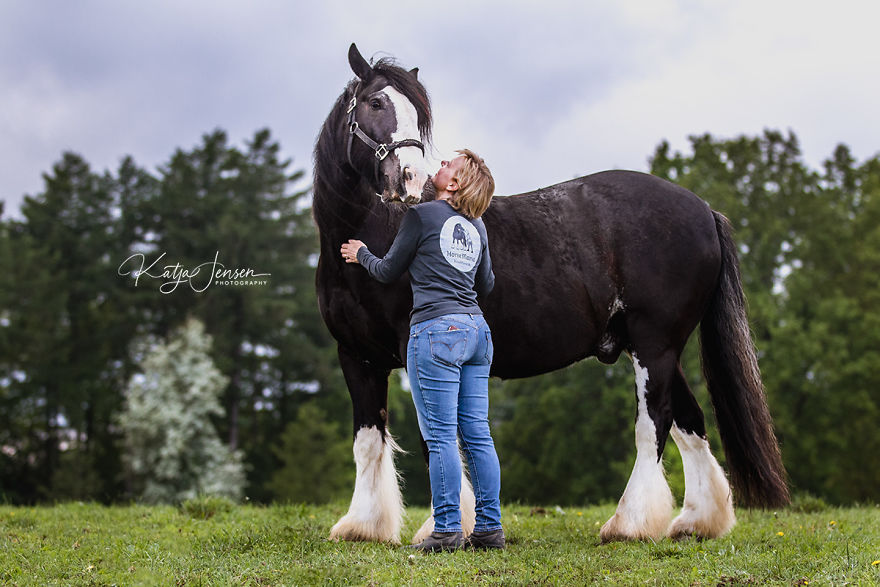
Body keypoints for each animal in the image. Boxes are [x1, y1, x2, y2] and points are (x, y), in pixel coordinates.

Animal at [313, 44, 789, 545]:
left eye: (417, 115)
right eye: (375, 103)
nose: (412, 180)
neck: (370, 238)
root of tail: (702, 210)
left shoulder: (417, 350)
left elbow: (432, 437)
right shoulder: (356, 356)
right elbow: (368, 441)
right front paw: (362, 526)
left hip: (654, 345)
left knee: (654, 423)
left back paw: (628, 523)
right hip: (656, 347)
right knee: (690, 422)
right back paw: (696, 521)